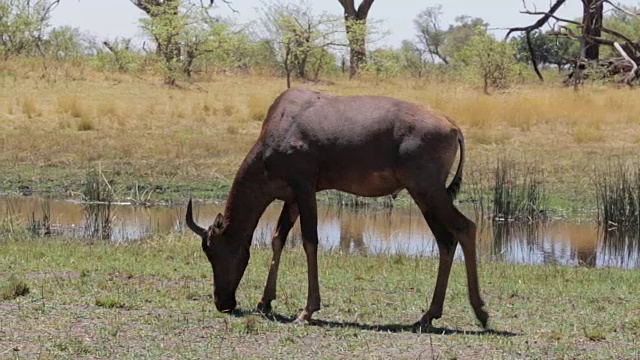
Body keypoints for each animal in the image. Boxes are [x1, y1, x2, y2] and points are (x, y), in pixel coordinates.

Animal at [185, 87, 490, 330]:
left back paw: (481, 313)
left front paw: (306, 312)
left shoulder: (305, 187)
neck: (284, 120)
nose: (223, 302)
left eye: (213, 251)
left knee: (465, 227)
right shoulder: (291, 197)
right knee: (445, 241)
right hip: (425, 196)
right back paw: (428, 316)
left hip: (427, 190)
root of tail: (452, 126)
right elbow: (277, 239)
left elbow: (310, 241)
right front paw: (265, 302)